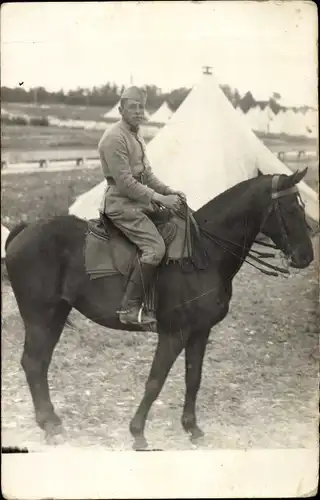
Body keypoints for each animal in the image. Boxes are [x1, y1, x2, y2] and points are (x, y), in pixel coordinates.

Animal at [4, 168, 312, 450]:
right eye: (290, 209)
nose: (306, 257)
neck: (203, 254)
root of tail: (25, 229)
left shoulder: (200, 332)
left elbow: (193, 378)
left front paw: (192, 428)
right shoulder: (174, 333)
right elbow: (155, 381)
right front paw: (138, 433)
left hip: (56, 314)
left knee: (40, 364)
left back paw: (52, 422)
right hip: (40, 317)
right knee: (33, 363)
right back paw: (50, 426)